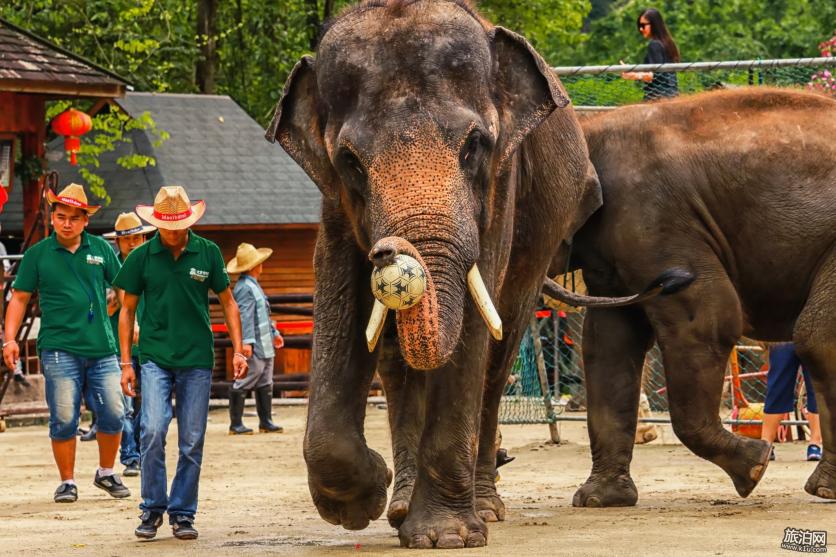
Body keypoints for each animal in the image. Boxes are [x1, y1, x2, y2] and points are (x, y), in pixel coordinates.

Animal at [268, 0, 692, 548]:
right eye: (349, 162)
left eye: (474, 145)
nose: (389, 255)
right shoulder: (334, 202)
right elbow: (340, 299)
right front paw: (362, 502)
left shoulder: (502, 180)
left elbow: (475, 317)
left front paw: (445, 538)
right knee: (398, 360)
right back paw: (401, 506)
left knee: (499, 345)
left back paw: (484, 507)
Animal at [560, 88, 836, 508]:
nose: (671, 280)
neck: (588, 127)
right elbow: (609, 342)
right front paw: (597, 500)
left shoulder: (655, 220)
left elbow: (707, 321)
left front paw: (754, 468)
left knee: (817, 338)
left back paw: (822, 488)